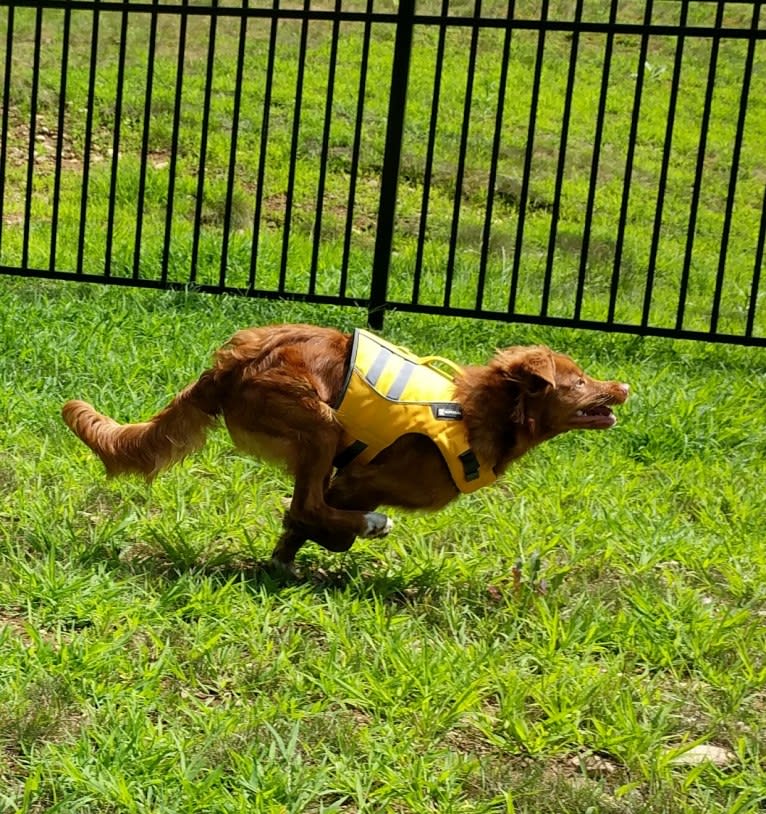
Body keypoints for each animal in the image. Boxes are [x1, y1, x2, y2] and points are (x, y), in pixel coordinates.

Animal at [63, 326, 632, 568]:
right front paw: (344, 535)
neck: (479, 412)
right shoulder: (358, 477)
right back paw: (370, 526)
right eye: (580, 382)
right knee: (307, 501)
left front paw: (282, 563)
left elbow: (298, 527)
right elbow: (311, 516)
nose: (624, 387)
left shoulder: (354, 480)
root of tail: (231, 364)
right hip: (321, 424)